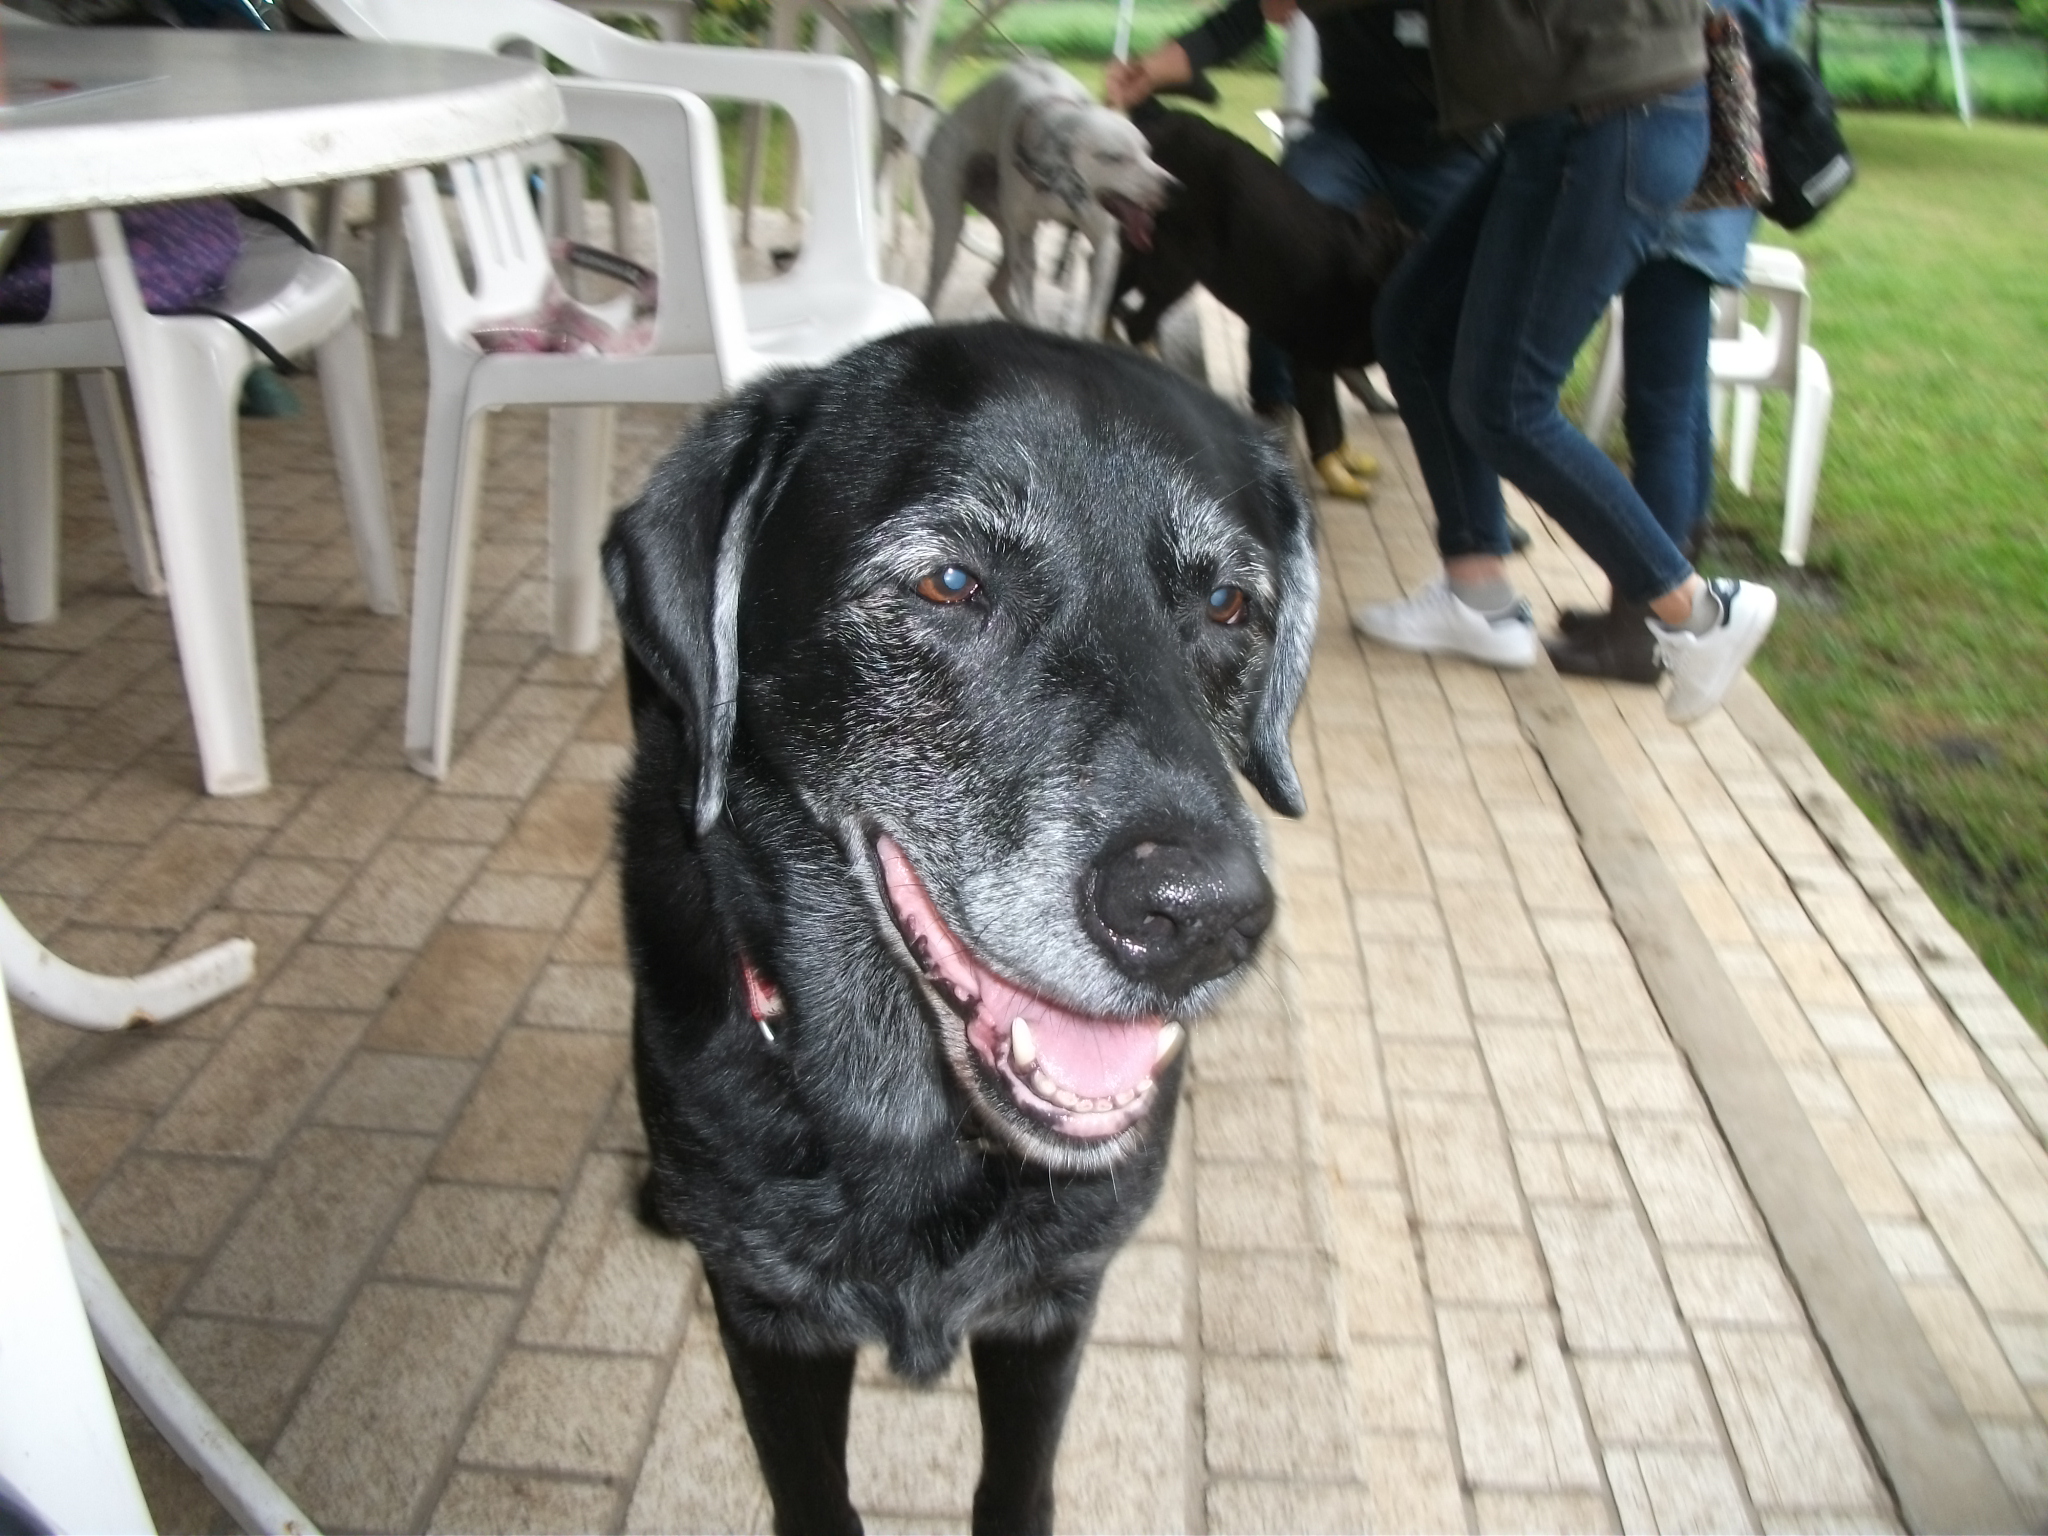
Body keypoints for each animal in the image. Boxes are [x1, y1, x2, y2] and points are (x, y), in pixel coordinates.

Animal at [598, 319, 1318, 1531]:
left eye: (1227, 605)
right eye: (948, 581)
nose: (1201, 916)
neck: (911, 1112)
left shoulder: (1050, 1301)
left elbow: (1014, 1487)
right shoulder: (768, 1316)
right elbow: (814, 1497)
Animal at [921, 62, 1179, 335]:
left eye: (1148, 152)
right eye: (1113, 157)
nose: (1174, 188)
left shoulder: (1105, 248)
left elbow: (1092, 316)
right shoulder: (1023, 250)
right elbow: (1028, 302)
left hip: (1007, 234)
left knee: (996, 285)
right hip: (952, 231)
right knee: (934, 288)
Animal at [1114, 97, 1417, 505]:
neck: (1374, 277)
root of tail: (1162, 115)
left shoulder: (1321, 365)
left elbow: (1335, 420)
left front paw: (1348, 461)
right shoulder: (1311, 363)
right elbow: (1324, 423)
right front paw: (1338, 475)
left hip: (1149, 255)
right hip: (1181, 263)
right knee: (1136, 323)